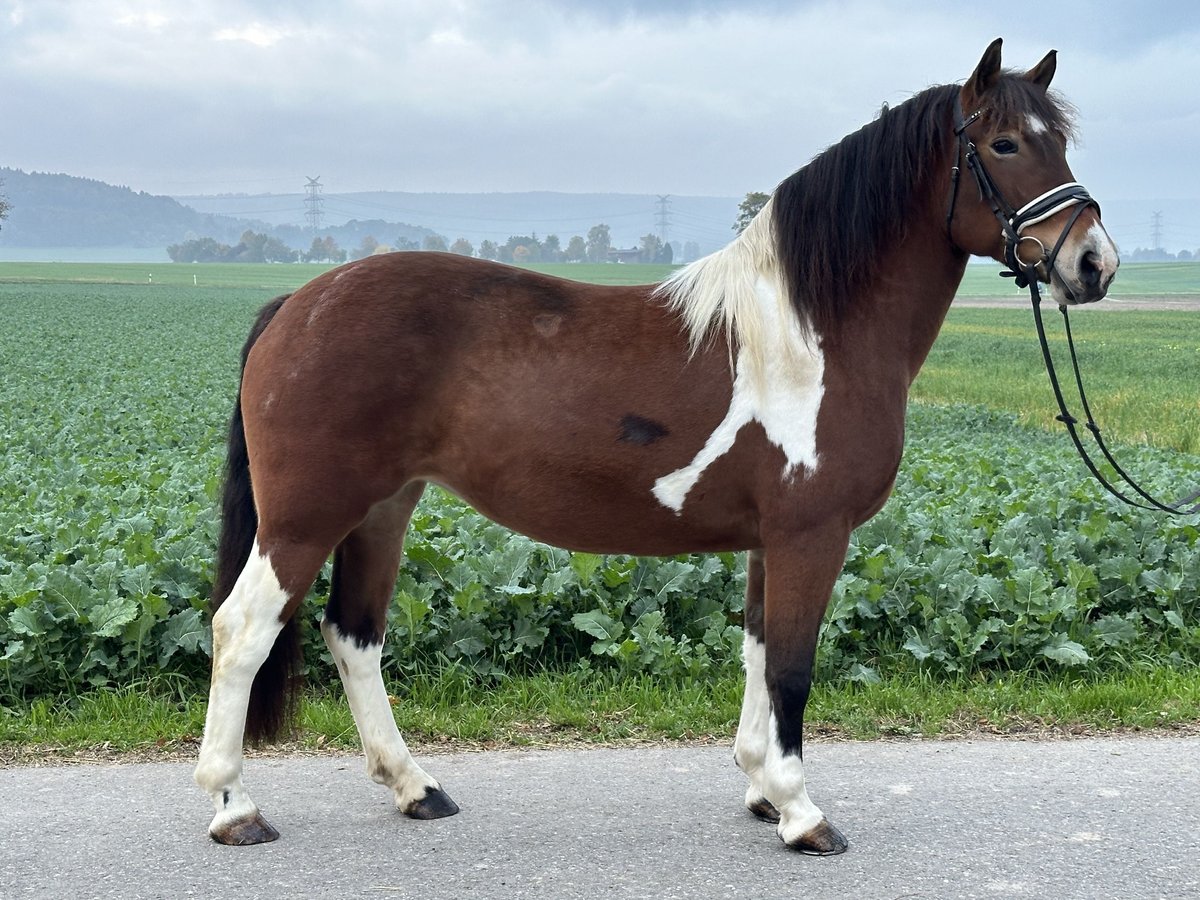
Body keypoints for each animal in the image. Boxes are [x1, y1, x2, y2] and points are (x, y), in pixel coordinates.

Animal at [192, 38, 1118, 854]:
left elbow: (757, 653)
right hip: (308, 516)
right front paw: (803, 814)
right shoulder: (812, 535)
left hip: (383, 507)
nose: (1094, 263)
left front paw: (760, 788)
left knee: (353, 635)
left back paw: (415, 788)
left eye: (1062, 140)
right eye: (1004, 143)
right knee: (243, 629)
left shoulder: (768, 542)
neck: (813, 331)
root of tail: (297, 303)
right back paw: (235, 808)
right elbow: (792, 667)